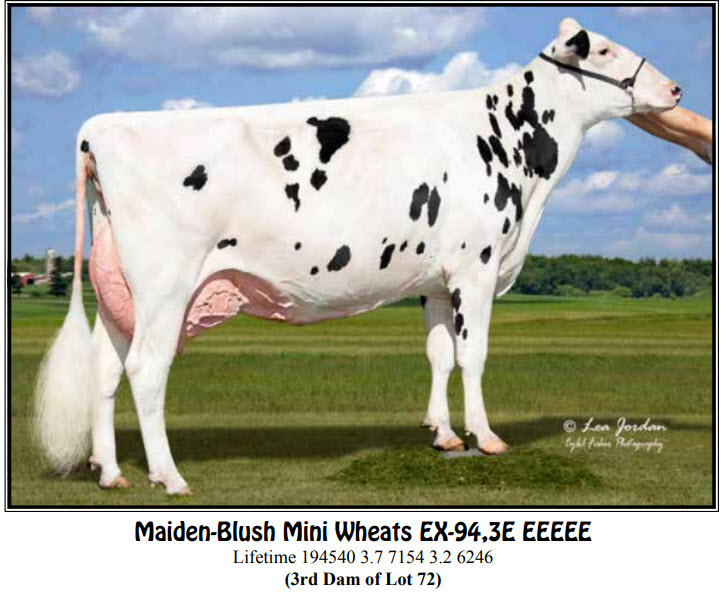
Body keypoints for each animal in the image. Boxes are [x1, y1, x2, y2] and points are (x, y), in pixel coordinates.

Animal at [34, 18, 681, 494]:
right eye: (604, 48)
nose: (676, 89)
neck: (511, 146)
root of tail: (101, 128)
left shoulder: (436, 281)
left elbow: (439, 355)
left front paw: (443, 435)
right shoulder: (475, 267)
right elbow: (472, 356)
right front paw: (486, 437)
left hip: (121, 289)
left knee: (106, 367)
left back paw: (110, 472)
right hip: (165, 284)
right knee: (146, 369)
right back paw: (169, 477)